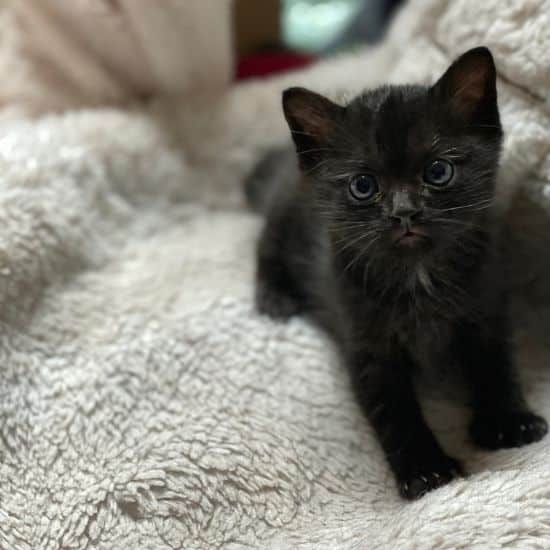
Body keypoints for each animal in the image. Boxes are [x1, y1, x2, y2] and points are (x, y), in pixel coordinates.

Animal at [249, 49, 548, 502]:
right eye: (363, 185)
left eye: (438, 171)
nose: (404, 211)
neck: (418, 274)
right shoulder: (368, 344)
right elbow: (394, 410)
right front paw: (426, 469)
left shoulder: (487, 304)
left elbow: (496, 363)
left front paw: (508, 420)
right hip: (283, 211)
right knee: (265, 246)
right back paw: (275, 297)